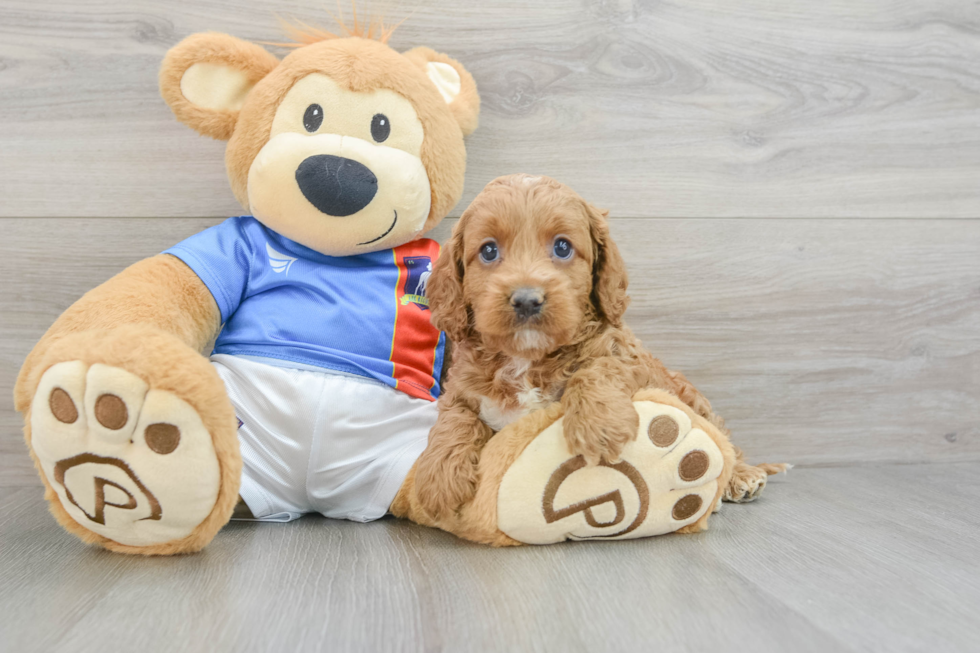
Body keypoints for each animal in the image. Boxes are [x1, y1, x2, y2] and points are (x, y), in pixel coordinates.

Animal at [418, 173, 784, 520]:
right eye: (489, 251)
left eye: (562, 247)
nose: (526, 300)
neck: (527, 358)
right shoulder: (462, 388)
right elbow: (454, 418)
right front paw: (438, 477)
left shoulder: (625, 355)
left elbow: (599, 368)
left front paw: (598, 426)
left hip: (692, 398)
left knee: (722, 439)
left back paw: (742, 475)